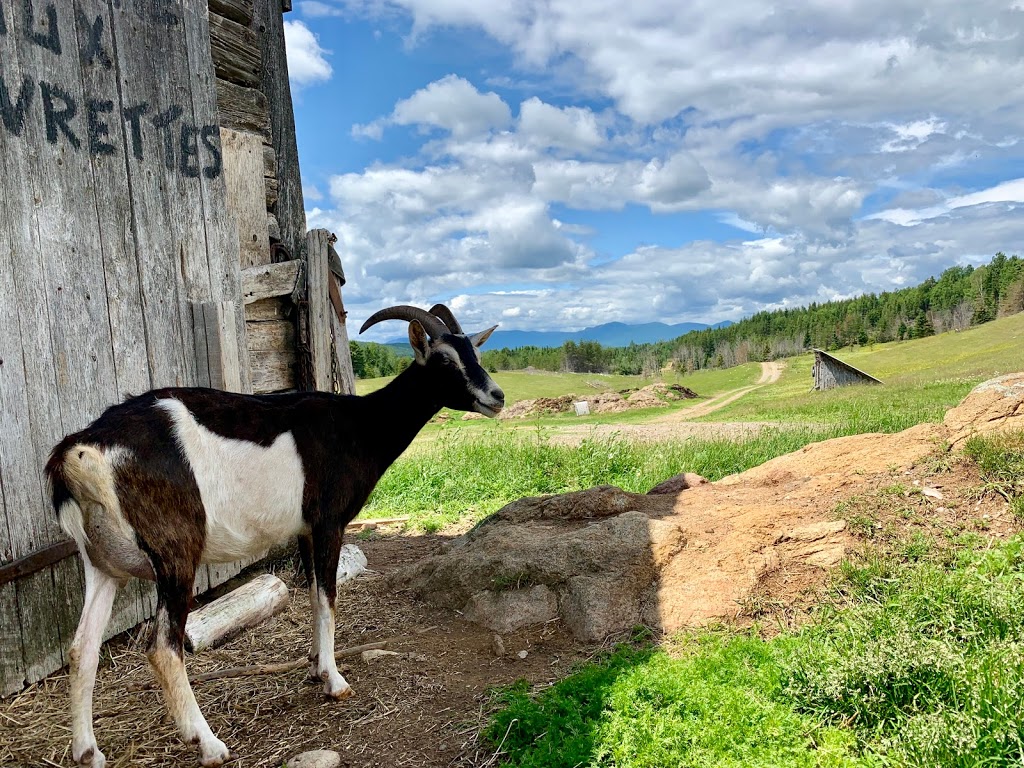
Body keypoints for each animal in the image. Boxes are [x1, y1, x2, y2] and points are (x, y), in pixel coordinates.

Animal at [46, 307, 501, 768]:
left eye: (474, 351)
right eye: (444, 359)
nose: (496, 396)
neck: (358, 425)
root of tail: (79, 453)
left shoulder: (304, 529)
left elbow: (315, 593)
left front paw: (317, 666)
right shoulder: (329, 522)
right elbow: (329, 598)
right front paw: (335, 681)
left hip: (102, 563)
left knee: (82, 649)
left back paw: (88, 752)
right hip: (175, 554)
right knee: (163, 648)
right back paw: (208, 744)